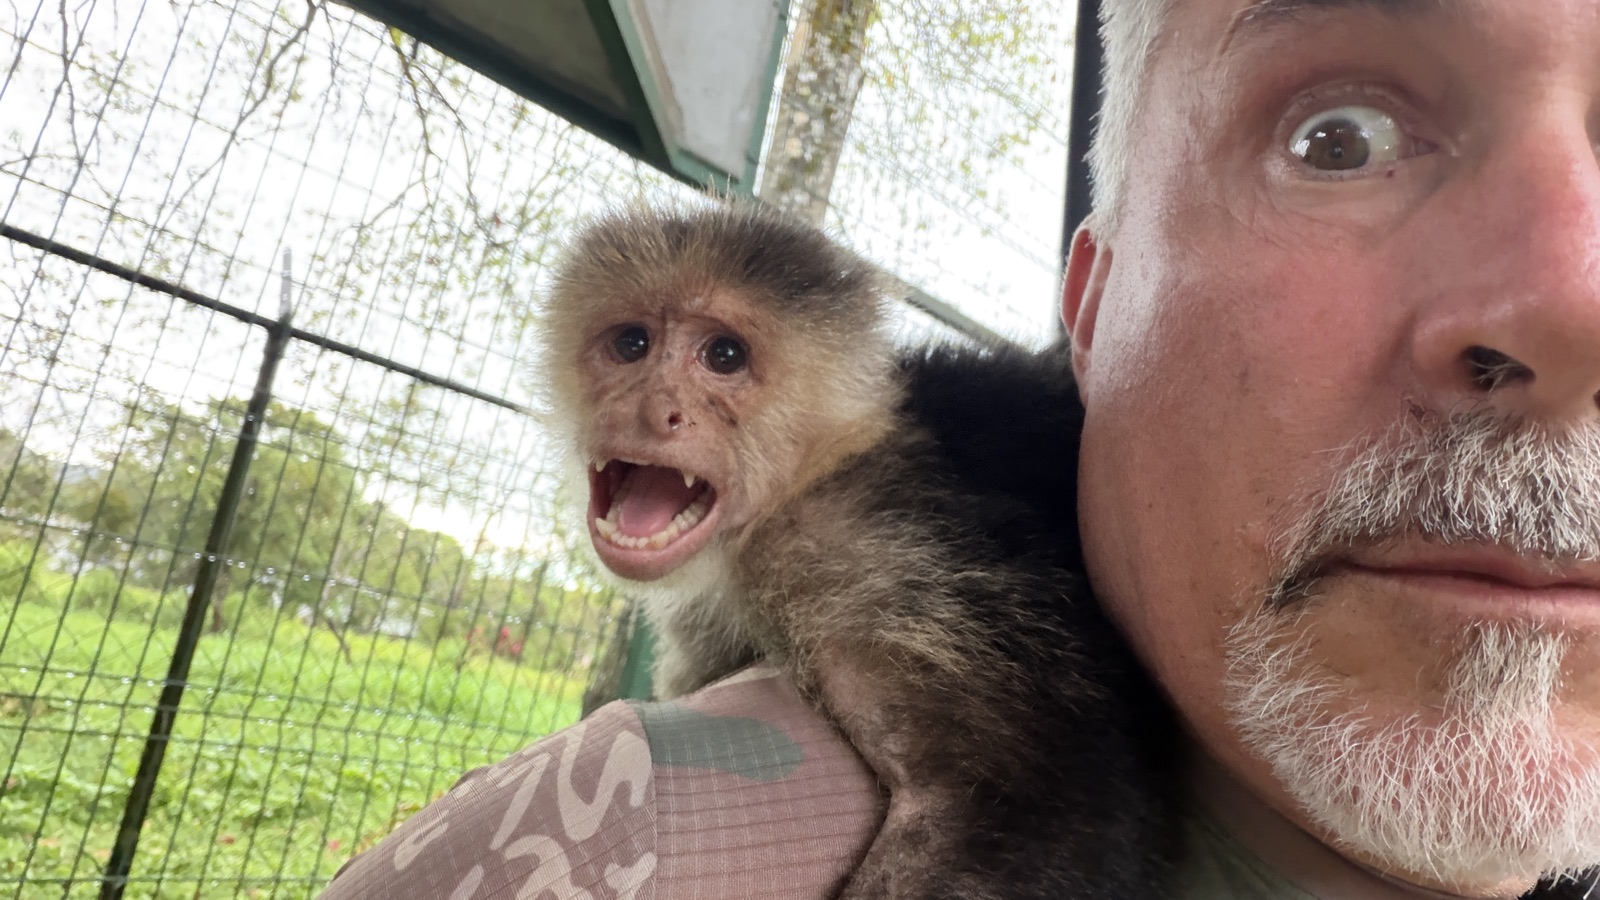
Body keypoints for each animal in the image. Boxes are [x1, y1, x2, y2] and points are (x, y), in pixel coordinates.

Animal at [537, 200, 1179, 899]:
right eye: (631, 344)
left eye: (724, 355)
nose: (654, 408)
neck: (808, 477)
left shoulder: (859, 542)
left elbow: (1036, 798)